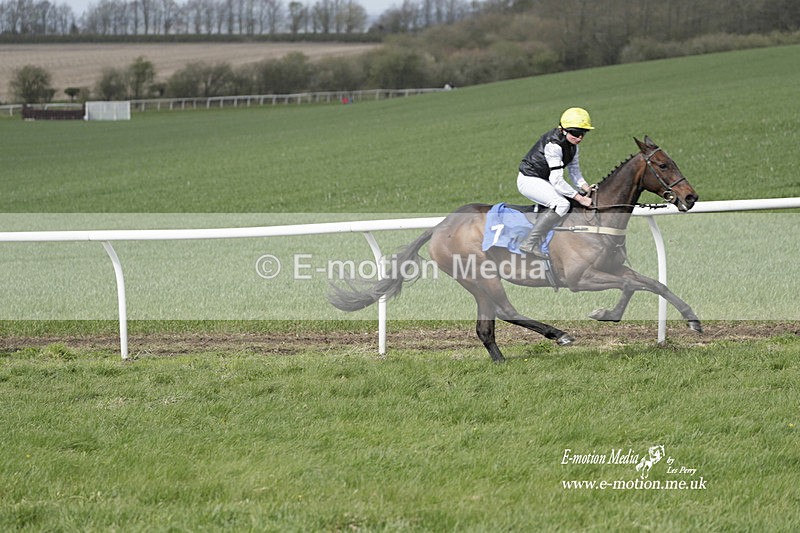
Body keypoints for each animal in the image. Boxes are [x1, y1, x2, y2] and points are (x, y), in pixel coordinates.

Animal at [328, 136, 702, 362]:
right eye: (663, 165)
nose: (691, 197)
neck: (594, 217)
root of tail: (440, 227)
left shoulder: (610, 267)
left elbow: (652, 283)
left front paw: (692, 319)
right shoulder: (580, 278)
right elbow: (630, 285)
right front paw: (604, 314)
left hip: (477, 283)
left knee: (485, 326)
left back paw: (501, 360)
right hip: (482, 275)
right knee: (506, 311)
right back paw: (558, 334)